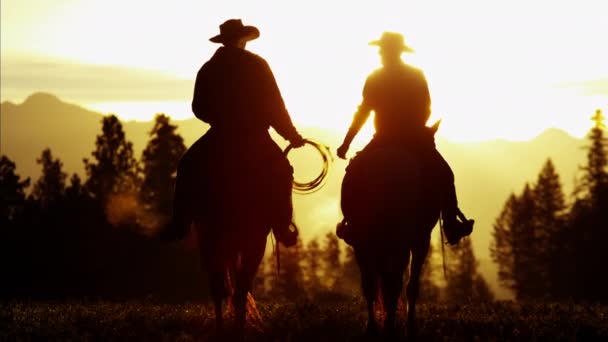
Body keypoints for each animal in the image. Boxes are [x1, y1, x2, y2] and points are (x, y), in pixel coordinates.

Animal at [338, 122, 442, 336]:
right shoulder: (420, 240)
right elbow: (410, 285)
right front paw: (409, 326)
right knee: (392, 282)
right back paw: (389, 326)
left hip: (365, 239)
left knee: (373, 283)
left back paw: (374, 326)